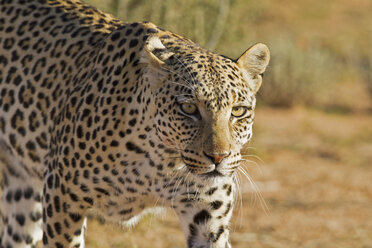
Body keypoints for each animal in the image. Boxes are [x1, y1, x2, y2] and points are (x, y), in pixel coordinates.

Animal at [0, 0, 268, 247]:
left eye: (238, 111)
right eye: (189, 108)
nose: (218, 158)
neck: (163, 162)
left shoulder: (208, 218)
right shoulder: (62, 198)